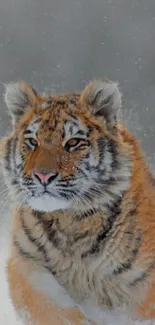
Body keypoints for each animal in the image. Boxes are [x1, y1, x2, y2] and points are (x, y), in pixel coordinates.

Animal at [0, 79, 155, 324]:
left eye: (73, 142)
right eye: (32, 141)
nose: (43, 176)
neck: (71, 220)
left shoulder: (143, 280)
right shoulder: (26, 262)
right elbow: (54, 310)